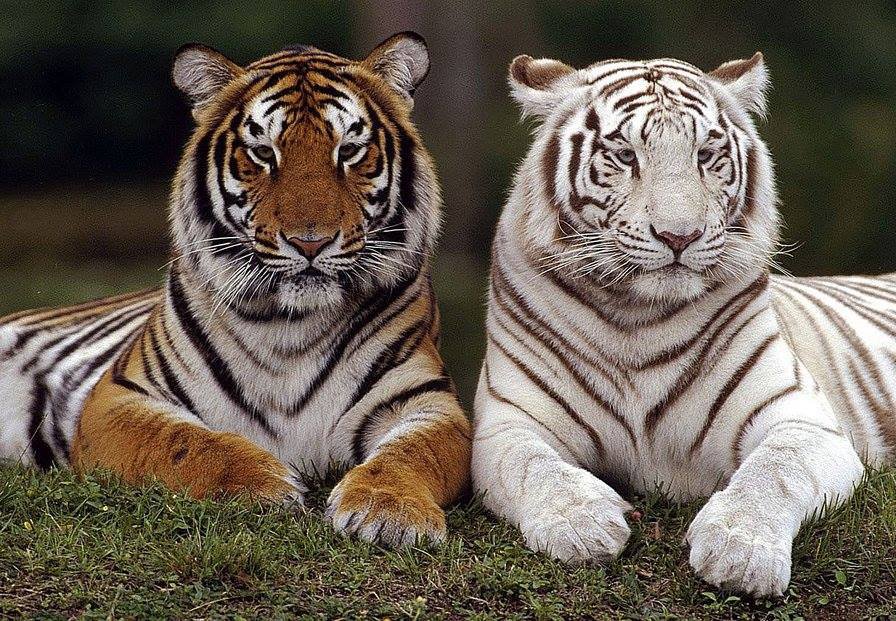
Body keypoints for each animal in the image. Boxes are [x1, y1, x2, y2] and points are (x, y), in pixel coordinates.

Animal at [0, 33, 471, 547]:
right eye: (264, 153)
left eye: (348, 150)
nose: (311, 241)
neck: (291, 325)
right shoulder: (120, 397)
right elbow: (183, 442)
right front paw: (262, 482)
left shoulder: (428, 401)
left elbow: (412, 454)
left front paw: (390, 510)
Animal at [472, 51, 895, 596]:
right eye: (625, 155)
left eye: (706, 154)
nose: (680, 235)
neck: (637, 316)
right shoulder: (508, 423)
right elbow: (533, 466)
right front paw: (582, 524)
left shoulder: (803, 419)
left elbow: (775, 471)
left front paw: (740, 550)